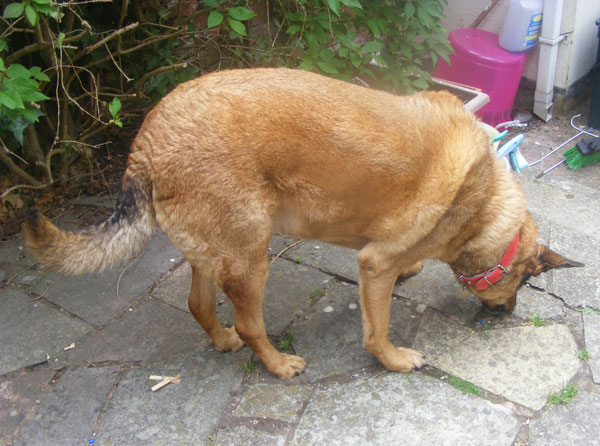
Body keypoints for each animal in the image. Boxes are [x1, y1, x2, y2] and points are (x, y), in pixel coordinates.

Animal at [23, 68, 580, 378]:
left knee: (200, 305)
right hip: (251, 259)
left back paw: (221, 340)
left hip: (215, 254)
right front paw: (395, 360)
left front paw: (414, 271)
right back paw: (277, 365)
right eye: (525, 282)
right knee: (251, 323)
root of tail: (149, 138)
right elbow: (378, 330)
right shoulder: (373, 267)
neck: (484, 201)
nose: (508, 314)